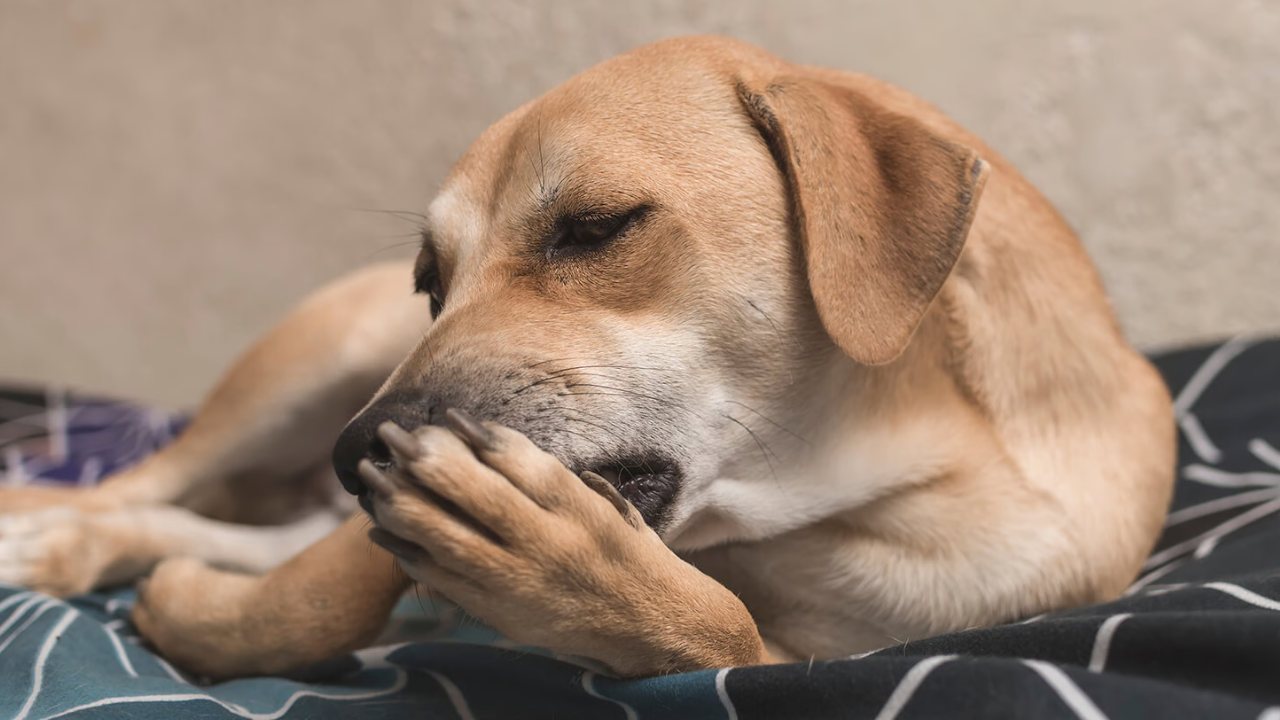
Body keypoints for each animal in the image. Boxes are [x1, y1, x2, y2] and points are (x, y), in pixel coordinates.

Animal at [0, 36, 1172, 676]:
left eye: (594, 227)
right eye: (431, 279)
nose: (357, 453)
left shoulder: (816, 657)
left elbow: (717, 631)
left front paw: (584, 582)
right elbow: (323, 592)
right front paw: (201, 618)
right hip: (311, 363)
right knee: (144, 483)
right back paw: (42, 530)